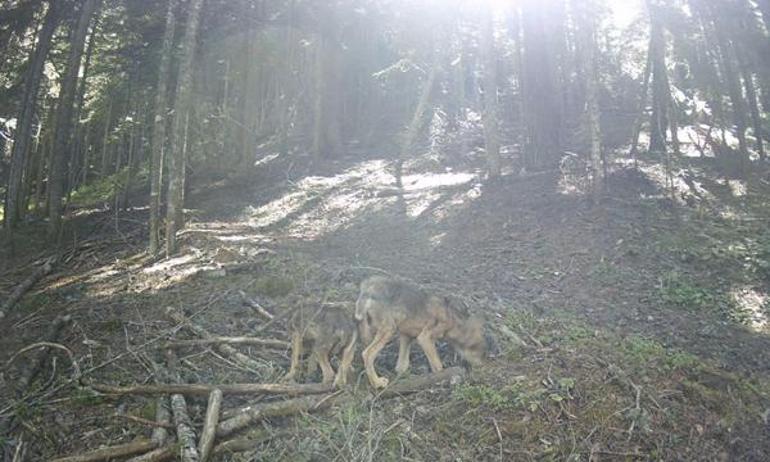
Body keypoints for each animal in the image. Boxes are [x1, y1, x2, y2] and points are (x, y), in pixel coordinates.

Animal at [356, 276, 486, 388]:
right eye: (477, 349)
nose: (481, 366)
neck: (453, 318)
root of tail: (366, 288)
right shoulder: (424, 338)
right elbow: (438, 367)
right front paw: (441, 380)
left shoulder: (406, 336)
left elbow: (402, 365)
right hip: (388, 331)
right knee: (367, 354)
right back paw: (377, 383)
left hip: (370, 333)